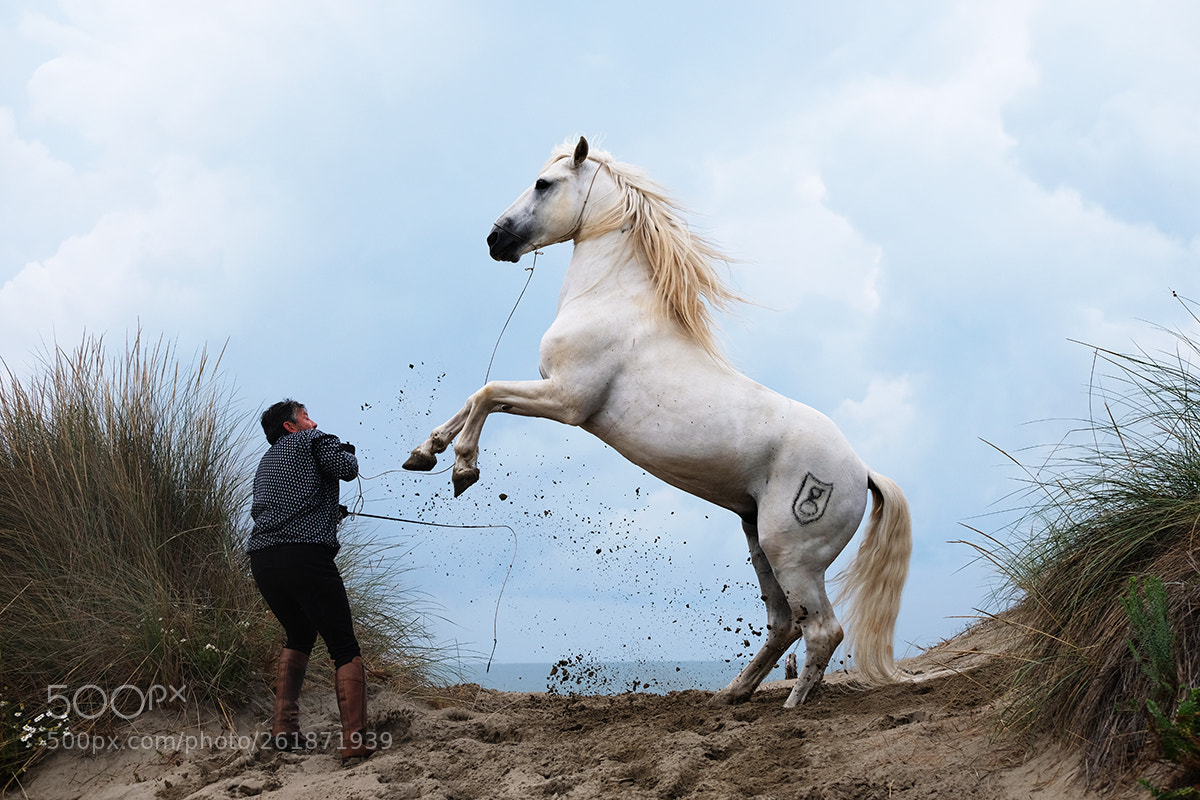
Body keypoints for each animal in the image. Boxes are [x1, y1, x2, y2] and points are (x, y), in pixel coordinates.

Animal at [404, 136, 912, 707]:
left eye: (542, 184)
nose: (496, 239)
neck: (610, 301)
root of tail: (862, 471)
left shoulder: (566, 401)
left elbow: (487, 394)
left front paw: (463, 469)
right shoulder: (550, 393)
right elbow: (475, 398)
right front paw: (424, 453)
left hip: (794, 554)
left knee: (822, 629)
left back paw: (792, 705)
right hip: (758, 539)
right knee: (783, 625)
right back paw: (731, 696)